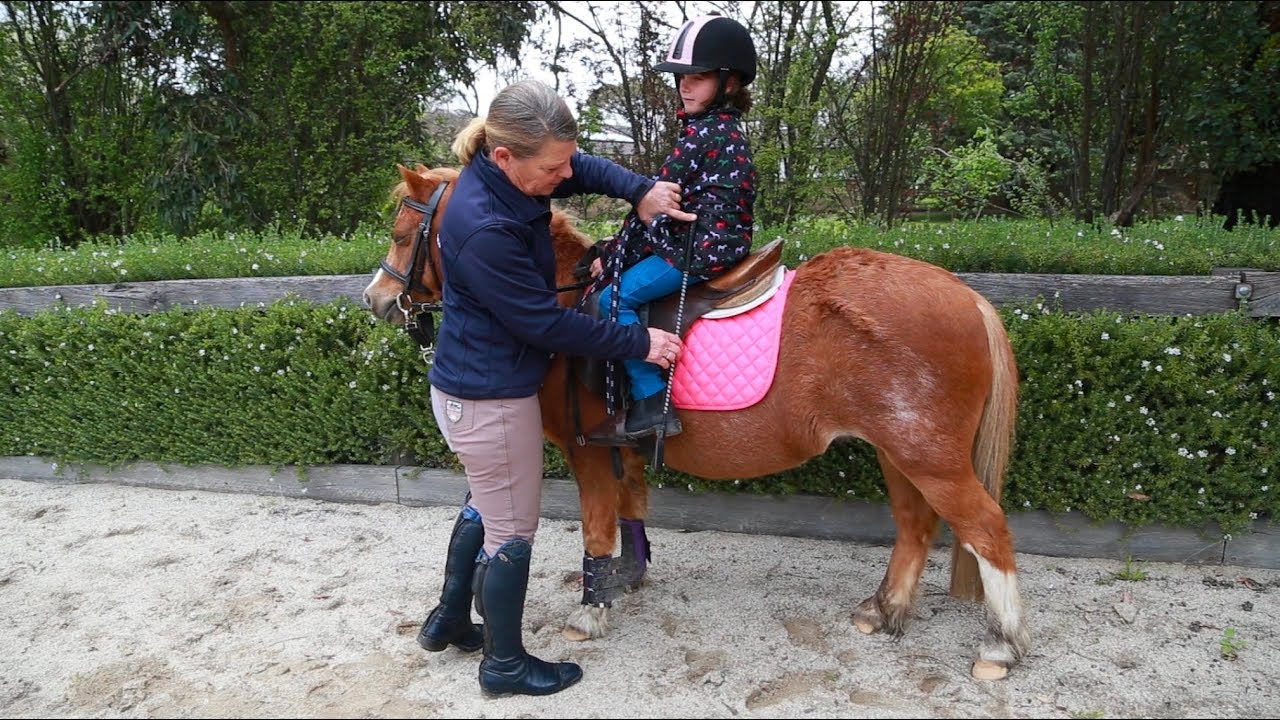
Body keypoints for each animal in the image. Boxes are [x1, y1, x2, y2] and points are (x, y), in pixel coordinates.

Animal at [363, 163, 1030, 681]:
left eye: (401, 234)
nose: (375, 299)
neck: (567, 302)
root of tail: (967, 297)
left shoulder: (586, 451)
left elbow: (597, 525)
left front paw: (589, 610)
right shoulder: (622, 447)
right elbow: (631, 509)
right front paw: (626, 578)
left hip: (928, 456)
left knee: (987, 530)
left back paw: (999, 647)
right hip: (898, 451)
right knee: (916, 526)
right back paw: (883, 610)